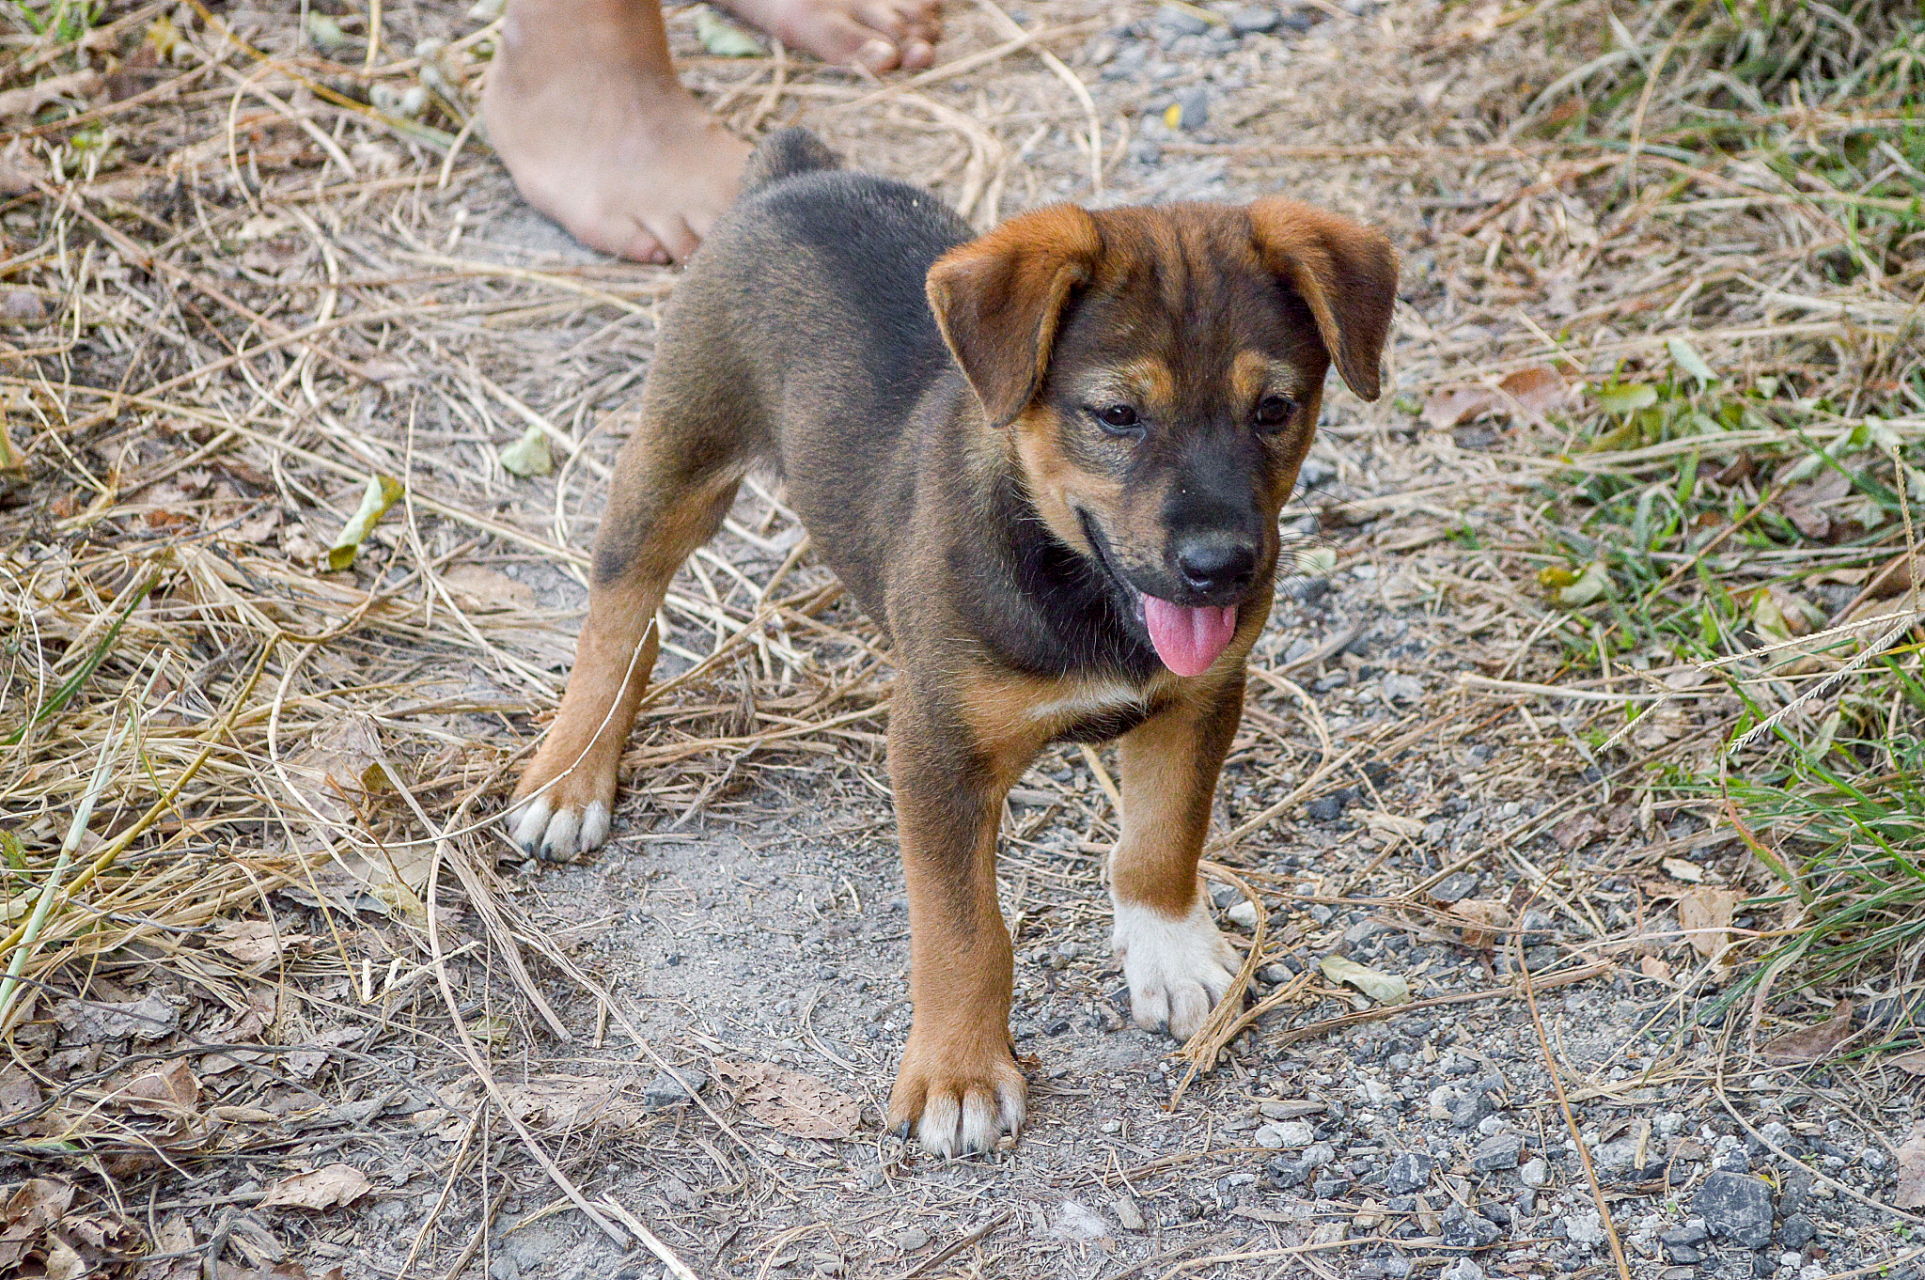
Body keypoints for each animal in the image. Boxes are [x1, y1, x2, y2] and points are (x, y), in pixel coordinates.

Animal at [504, 131, 1393, 1154]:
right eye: (1117, 416)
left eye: (1275, 409)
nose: (1221, 568)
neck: (1073, 577)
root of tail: (797, 174)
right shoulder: (936, 751)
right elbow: (963, 929)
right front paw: (959, 1072)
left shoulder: (1199, 697)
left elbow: (1163, 837)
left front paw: (1168, 951)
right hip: (680, 448)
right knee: (619, 612)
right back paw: (573, 774)